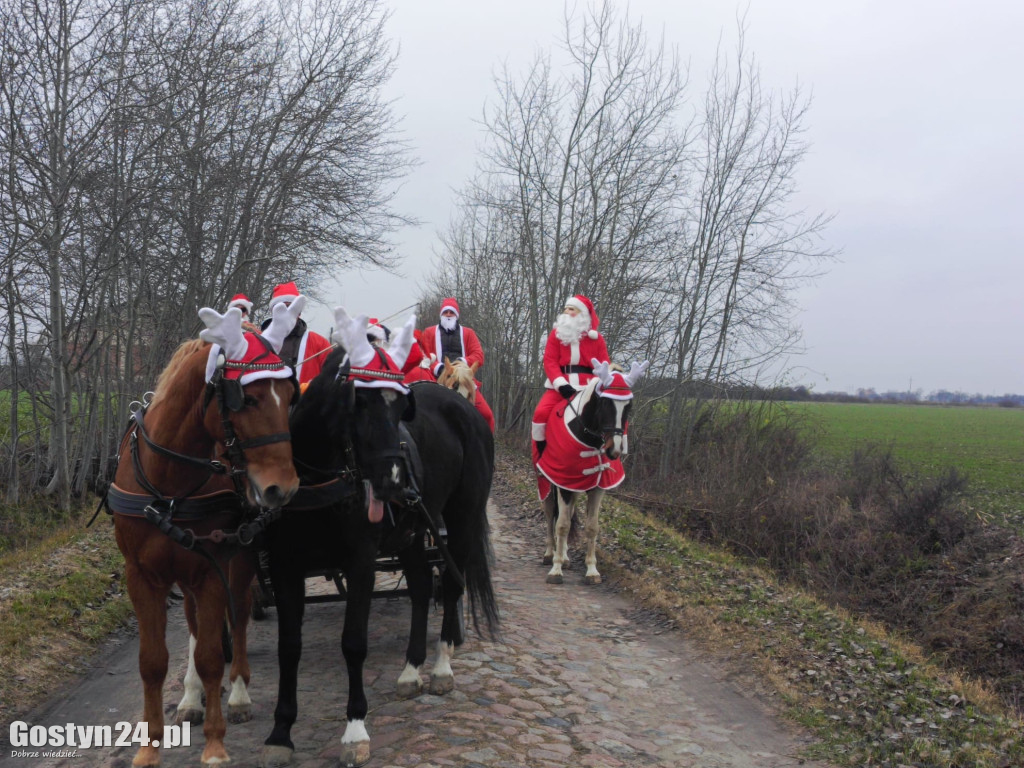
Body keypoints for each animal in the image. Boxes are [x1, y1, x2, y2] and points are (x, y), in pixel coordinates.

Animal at [113, 303, 303, 765]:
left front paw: (216, 744)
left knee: (238, 614)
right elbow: (154, 661)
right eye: (246, 398)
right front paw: (149, 746)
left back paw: (237, 693)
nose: (283, 488)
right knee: (196, 622)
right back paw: (190, 698)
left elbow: (213, 655)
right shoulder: (142, 576)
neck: (169, 487)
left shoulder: (212, 568)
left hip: (241, 558)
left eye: (289, 396)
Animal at [536, 360, 647, 581]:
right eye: (605, 403)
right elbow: (562, 525)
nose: (614, 450)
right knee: (550, 514)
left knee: (568, 514)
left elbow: (591, 527)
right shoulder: (564, 483)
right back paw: (550, 553)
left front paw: (591, 569)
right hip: (548, 482)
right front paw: (556, 569)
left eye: (628, 406)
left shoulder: (596, 487)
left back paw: (566, 556)